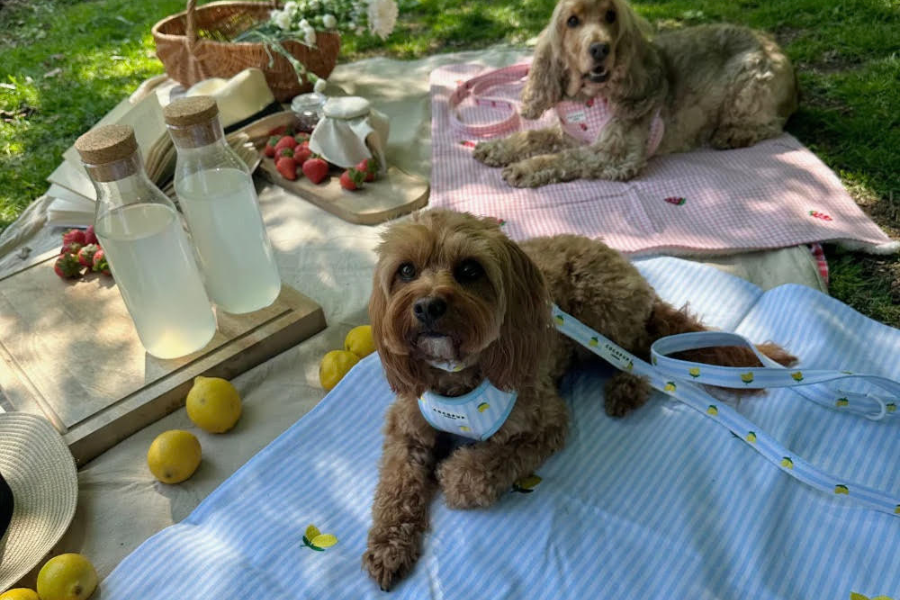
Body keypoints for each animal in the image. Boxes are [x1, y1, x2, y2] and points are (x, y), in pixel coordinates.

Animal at [362, 210, 795, 589]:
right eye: (406, 271)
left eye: (470, 270)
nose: (427, 306)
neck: (458, 375)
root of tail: (624, 262)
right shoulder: (406, 428)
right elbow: (396, 484)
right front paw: (387, 547)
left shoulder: (546, 422)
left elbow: (474, 471)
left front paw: (454, 471)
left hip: (601, 309)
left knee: (643, 350)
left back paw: (626, 388)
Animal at [473, 0, 799, 186]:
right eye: (572, 21)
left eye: (610, 15)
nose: (600, 49)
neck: (588, 97)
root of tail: (776, 47)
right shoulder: (569, 133)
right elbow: (533, 135)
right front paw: (497, 148)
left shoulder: (615, 155)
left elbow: (564, 158)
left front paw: (524, 168)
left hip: (749, 82)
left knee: (771, 124)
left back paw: (733, 134)